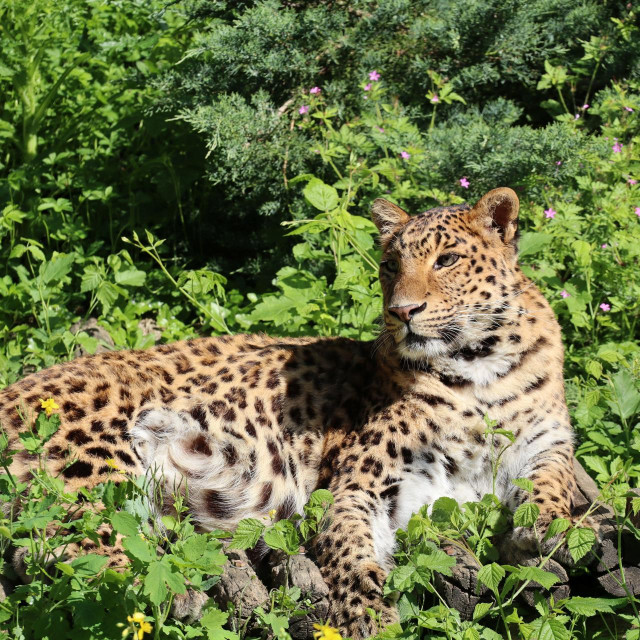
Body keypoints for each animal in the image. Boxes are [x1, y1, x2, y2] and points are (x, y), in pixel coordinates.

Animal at [0, 187, 582, 638]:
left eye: (447, 261)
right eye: (390, 266)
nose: (402, 312)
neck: (479, 366)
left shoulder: (547, 443)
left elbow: (553, 482)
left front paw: (548, 528)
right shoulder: (358, 481)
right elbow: (349, 551)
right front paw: (370, 618)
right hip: (100, 461)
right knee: (78, 551)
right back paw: (174, 595)